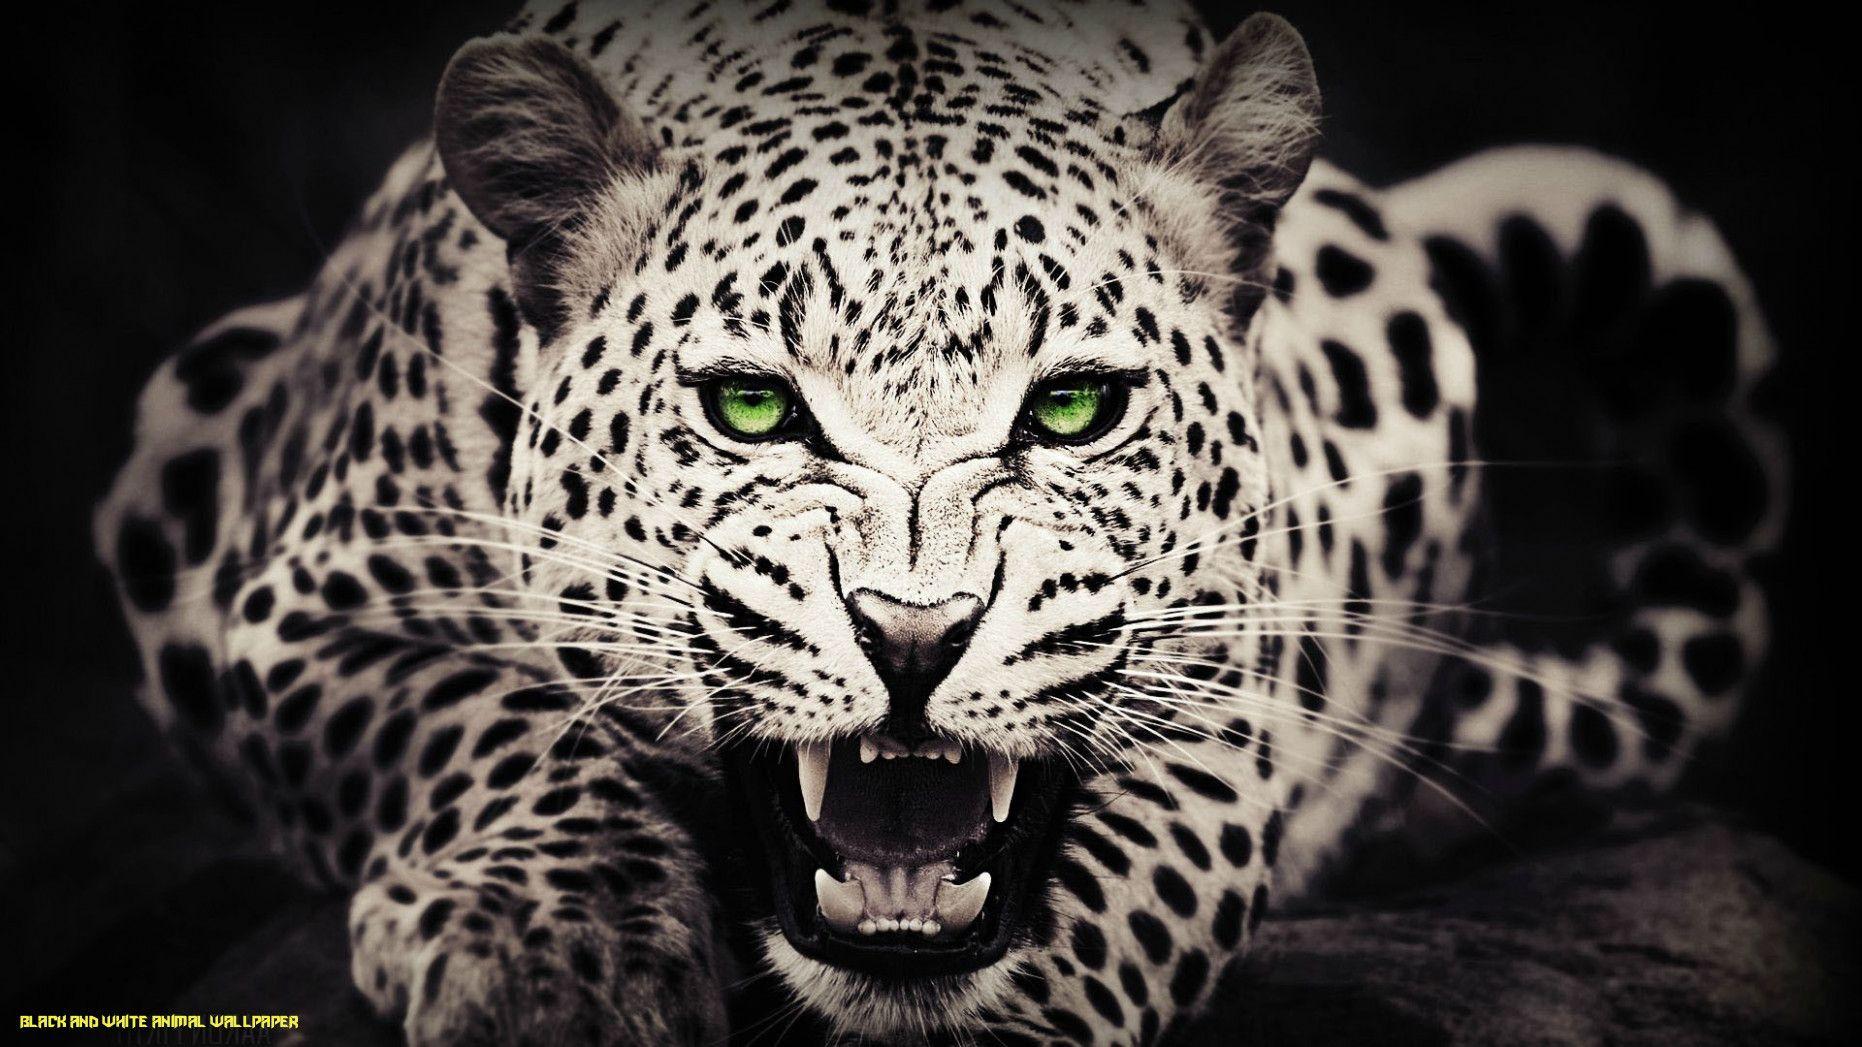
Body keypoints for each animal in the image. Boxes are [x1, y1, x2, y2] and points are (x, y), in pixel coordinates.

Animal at [93, 1, 1785, 1043]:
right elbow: (477, 718)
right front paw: (549, 953)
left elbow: (1129, 877)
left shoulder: (1226, 691)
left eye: (1074, 407)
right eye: (753, 407)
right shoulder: (304, 601)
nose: (914, 636)